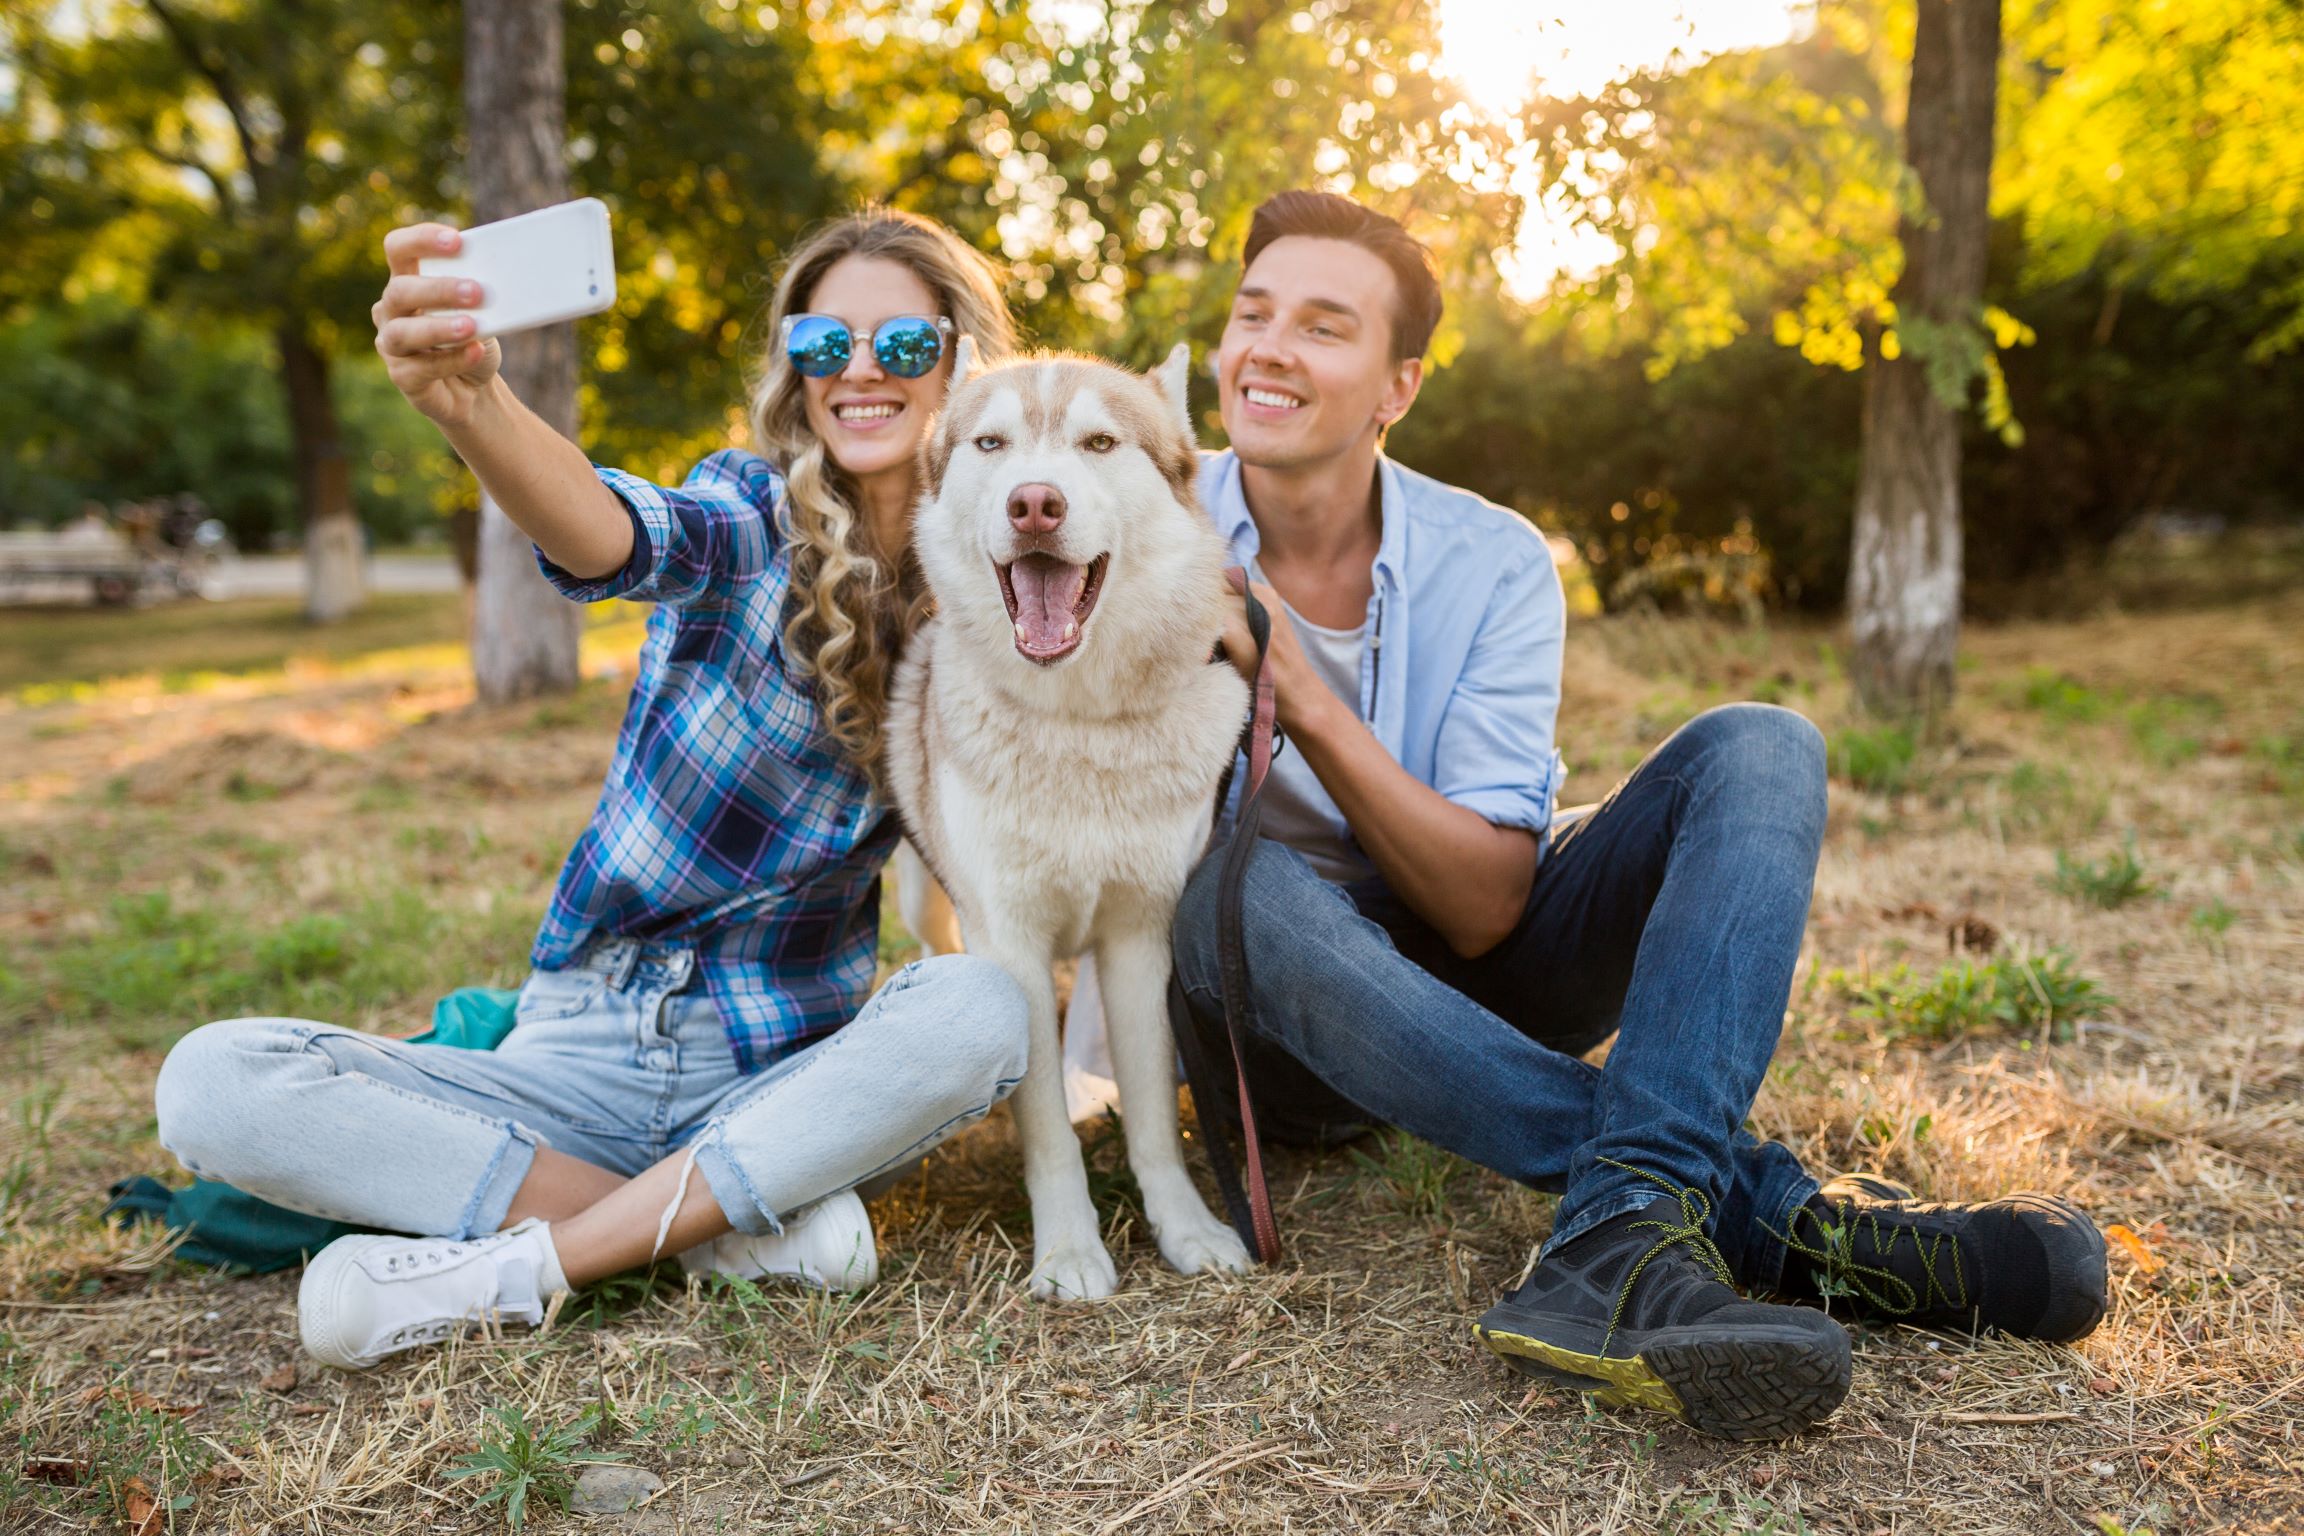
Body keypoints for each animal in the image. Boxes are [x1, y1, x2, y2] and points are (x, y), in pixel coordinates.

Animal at [884, 343, 1253, 1308]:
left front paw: (1187, 1228)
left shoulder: (1140, 937)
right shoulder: (1010, 941)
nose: (1034, 504)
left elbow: (1156, 1115)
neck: (1078, 725)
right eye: (991, 443)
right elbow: (1045, 1129)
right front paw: (1068, 1252)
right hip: (927, 896)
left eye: (1098, 443)